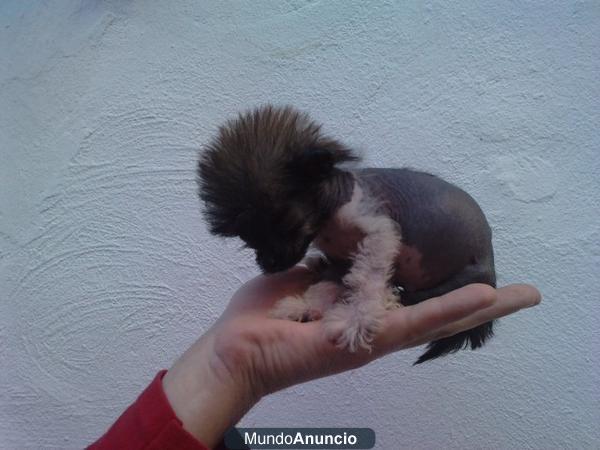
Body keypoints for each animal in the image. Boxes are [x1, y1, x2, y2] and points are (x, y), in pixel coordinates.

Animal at [199, 106, 494, 366]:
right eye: (245, 237)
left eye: (282, 220)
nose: (267, 264)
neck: (328, 223)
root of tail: (490, 267)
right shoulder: (341, 259)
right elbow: (326, 284)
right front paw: (305, 307)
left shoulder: (379, 233)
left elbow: (367, 280)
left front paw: (357, 320)